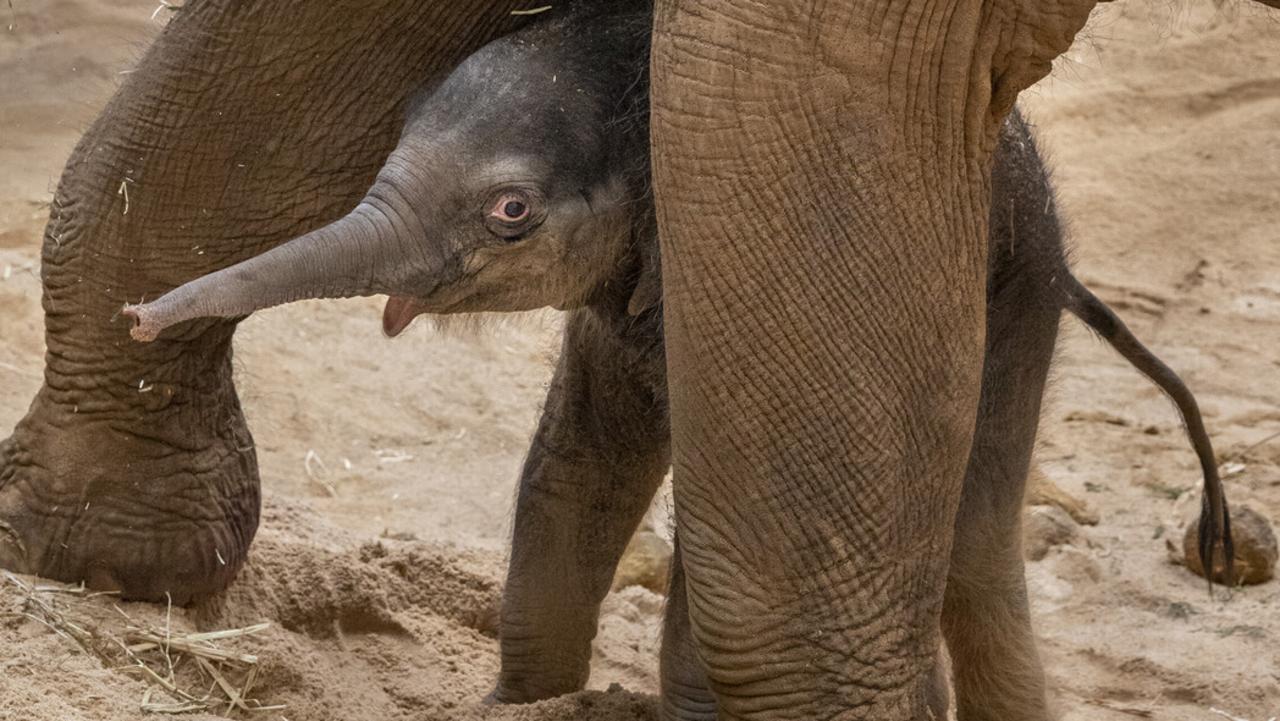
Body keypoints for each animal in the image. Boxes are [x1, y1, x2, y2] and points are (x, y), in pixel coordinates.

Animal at [0, 0, 1269, 717]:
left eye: (509, 210)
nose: (145, 320)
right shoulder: (622, 308)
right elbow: (575, 467)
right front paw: (522, 699)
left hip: (1020, 299)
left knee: (970, 534)